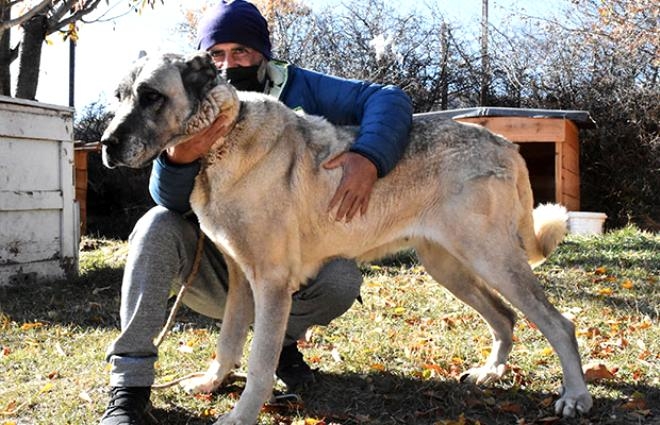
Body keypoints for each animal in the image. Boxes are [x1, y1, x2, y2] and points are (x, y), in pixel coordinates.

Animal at [103, 53, 592, 424]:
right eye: (120, 97)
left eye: (151, 96)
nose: (106, 144)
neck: (221, 138)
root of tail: (504, 143)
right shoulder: (243, 279)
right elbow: (227, 342)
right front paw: (212, 383)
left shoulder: (271, 281)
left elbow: (260, 362)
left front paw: (241, 416)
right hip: (448, 266)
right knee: (505, 317)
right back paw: (490, 373)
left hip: (491, 258)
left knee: (558, 323)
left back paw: (575, 396)